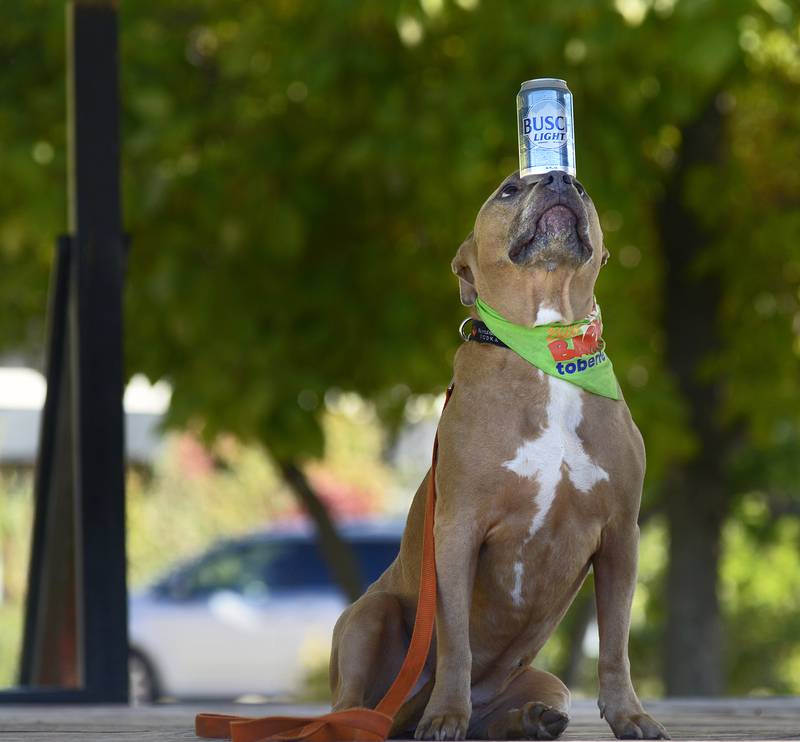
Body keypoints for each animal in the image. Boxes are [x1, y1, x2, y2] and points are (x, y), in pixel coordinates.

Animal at [326, 171, 668, 740]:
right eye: (509, 189)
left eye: (584, 188)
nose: (560, 177)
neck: (546, 351)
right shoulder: (457, 531)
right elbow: (456, 642)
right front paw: (446, 713)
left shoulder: (621, 536)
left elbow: (615, 644)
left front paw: (630, 715)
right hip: (370, 616)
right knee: (350, 703)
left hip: (544, 679)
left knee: (495, 718)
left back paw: (529, 719)